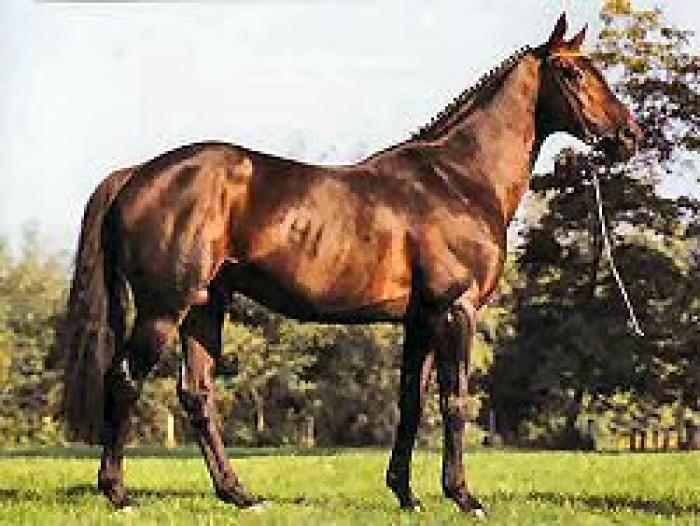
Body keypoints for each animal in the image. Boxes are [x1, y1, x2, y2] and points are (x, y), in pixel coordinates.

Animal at [62, 13, 640, 516]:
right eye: (571, 72)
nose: (629, 136)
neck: (458, 177)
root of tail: (137, 174)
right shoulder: (455, 311)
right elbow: (454, 402)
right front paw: (464, 498)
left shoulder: (420, 320)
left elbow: (411, 404)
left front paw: (407, 495)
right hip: (164, 308)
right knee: (125, 379)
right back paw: (118, 494)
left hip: (205, 307)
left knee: (196, 394)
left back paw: (241, 496)